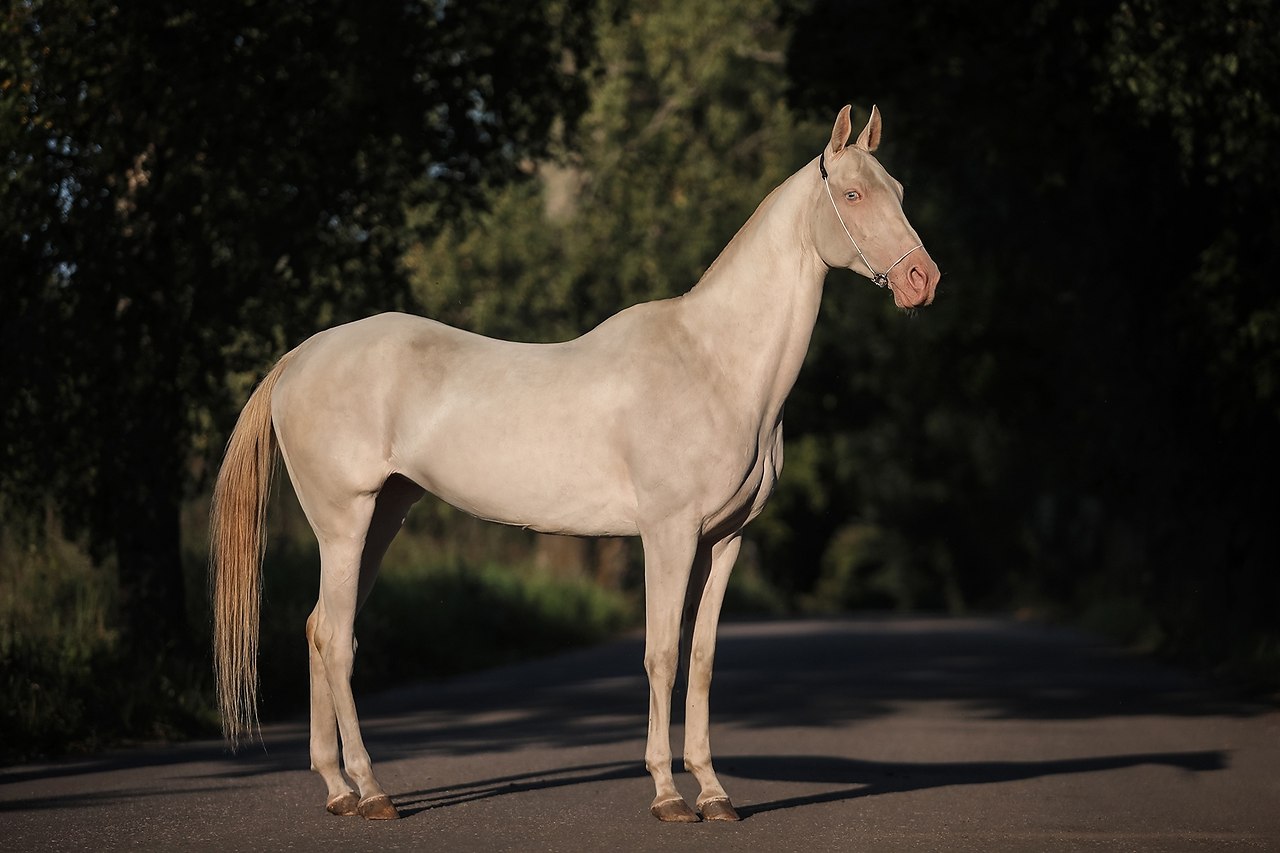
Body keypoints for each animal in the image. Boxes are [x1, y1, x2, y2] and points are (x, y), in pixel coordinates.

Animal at [209, 103, 942, 819]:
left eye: (901, 191)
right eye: (853, 193)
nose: (921, 280)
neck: (713, 361)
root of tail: (300, 356)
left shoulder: (725, 539)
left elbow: (703, 659)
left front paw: (714, 792)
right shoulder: (669, 534)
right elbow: (661, 654)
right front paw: (668, 795)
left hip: (383, 518)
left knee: (320, 629)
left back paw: (338, 788)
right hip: (345, 522)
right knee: (336, 639)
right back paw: (373, 792)